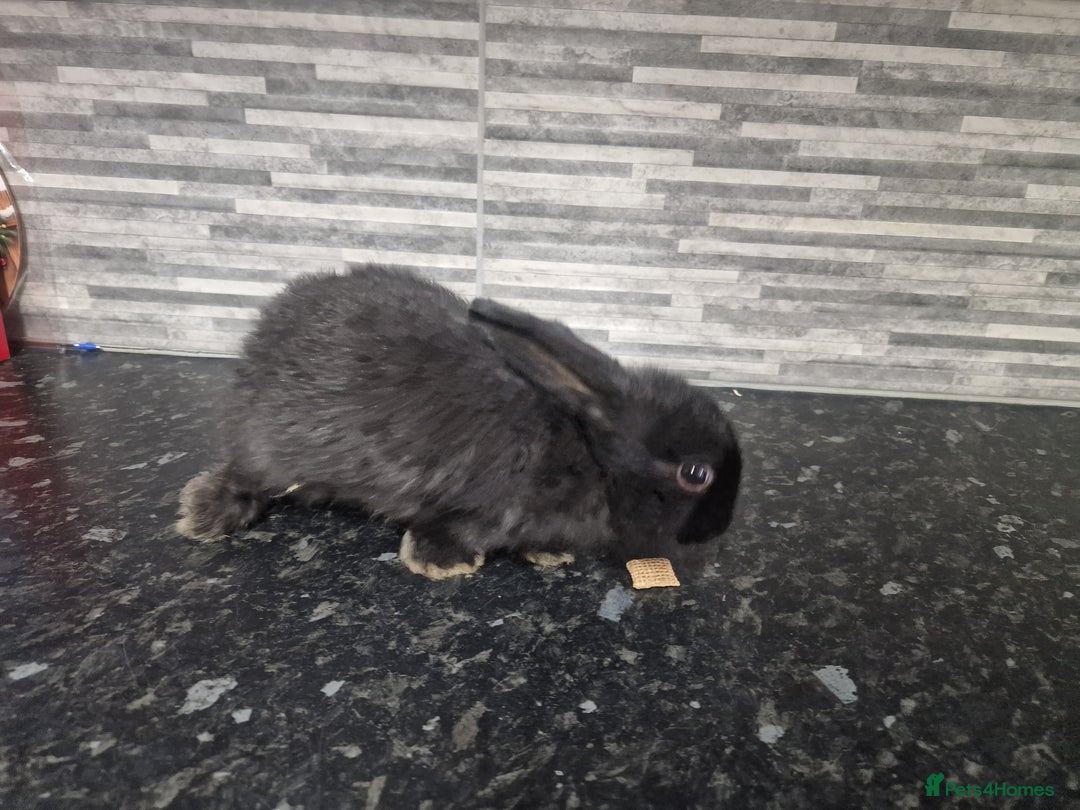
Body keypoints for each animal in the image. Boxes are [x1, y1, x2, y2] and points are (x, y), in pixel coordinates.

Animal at [177, 265, 742, 579]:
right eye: (696, 474)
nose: (718, 531)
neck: (592, 452)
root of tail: (259, 342)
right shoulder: (481, 507)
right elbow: (450, 530)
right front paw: (443, 564)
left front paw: (551, 556)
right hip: (272, 448)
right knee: (245, 476)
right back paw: (203, 514)